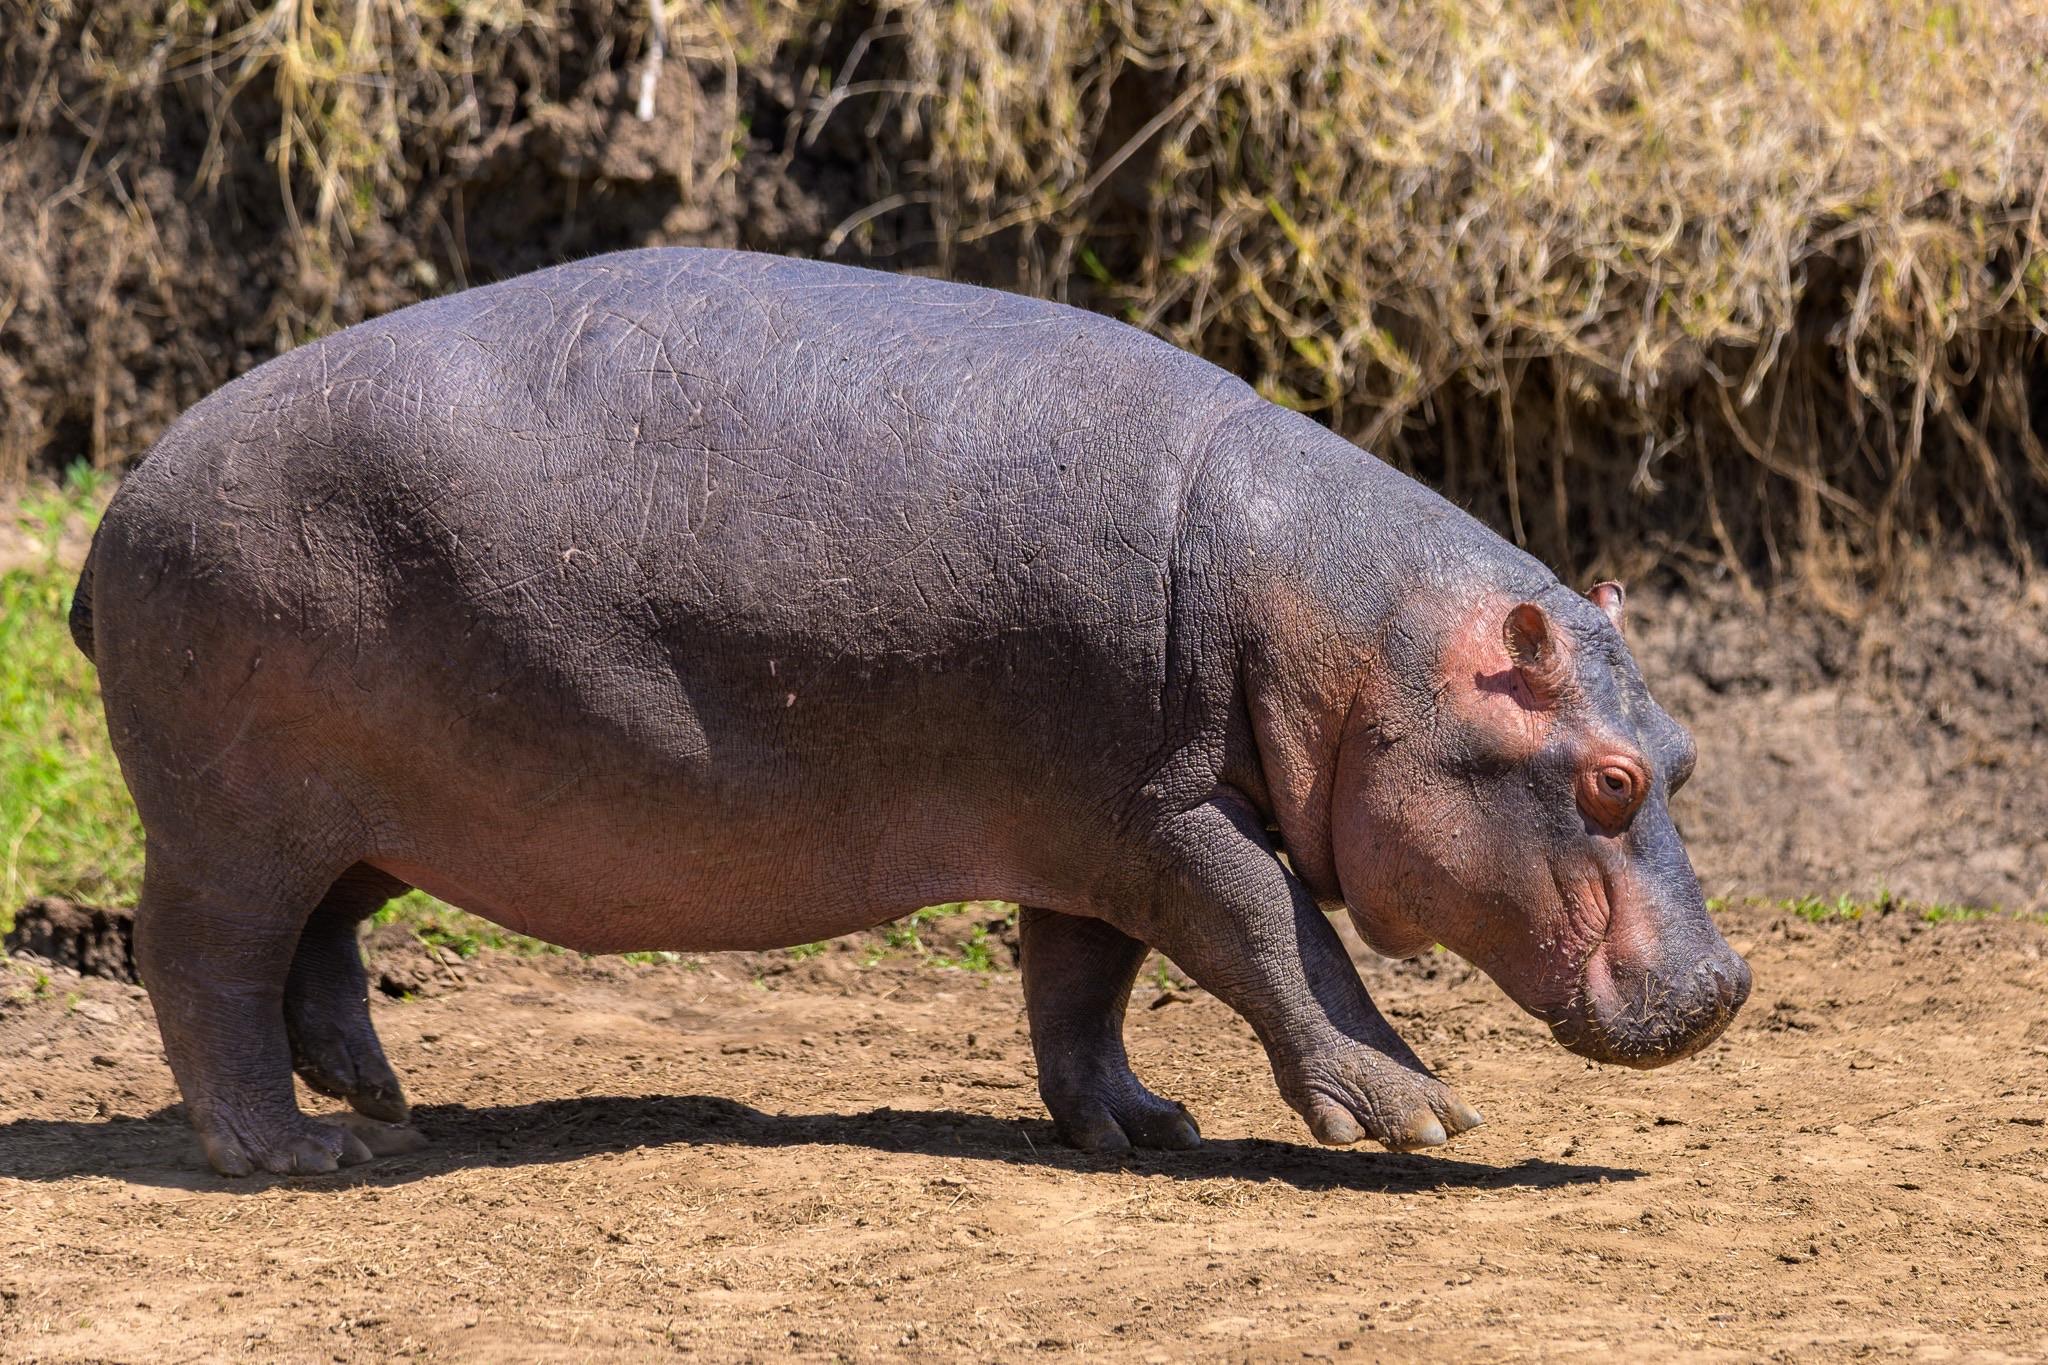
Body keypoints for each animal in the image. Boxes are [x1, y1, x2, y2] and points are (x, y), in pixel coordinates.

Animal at [71, 248, 1750, 1176]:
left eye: (1680, 755)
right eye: (1607, 782)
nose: (1729, 987)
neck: (1347, 638)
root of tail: (118, 507)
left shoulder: (1096, 817)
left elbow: (1081, 987)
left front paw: (1139, 1125)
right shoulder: (1171, 816)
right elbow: (1279, 939)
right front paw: (1419, 1113)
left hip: (385, 808)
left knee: (319, 946)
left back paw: (385, 1099)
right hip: (237, 812)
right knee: (205, 961)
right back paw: (301, 1151)